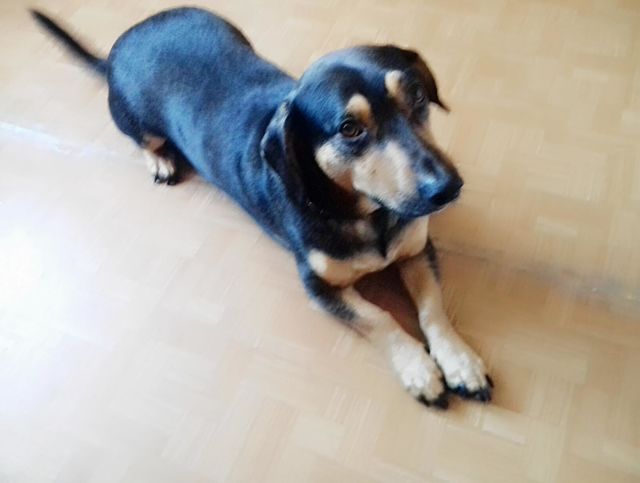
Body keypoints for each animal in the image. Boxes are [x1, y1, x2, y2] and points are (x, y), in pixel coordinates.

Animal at [32, 7, 492, 408]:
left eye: (417, 96)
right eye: (349, 129)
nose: (448, 188)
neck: (365, 213)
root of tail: (123, 42)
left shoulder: (418, 250)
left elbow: (433, 309)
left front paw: (460, 362)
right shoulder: (318, 286)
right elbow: (379, 317)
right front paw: (418, 369)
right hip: (137, 122)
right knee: (143, 140)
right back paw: (159, 160)